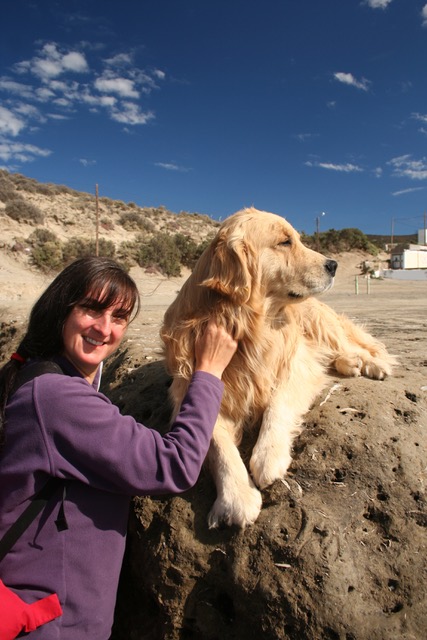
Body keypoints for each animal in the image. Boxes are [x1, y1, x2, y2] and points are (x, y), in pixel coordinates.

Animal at [160, 208, 396, 528]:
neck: (248, 323)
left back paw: (370, 363)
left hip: (320, 321)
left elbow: (277, 403)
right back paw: (350, 364)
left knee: (354, 344)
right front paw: (237, 496)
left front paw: (268, 458)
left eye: (297, 238)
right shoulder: (191, 388)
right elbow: (217, 442)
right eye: (285, 242)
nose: (333, 264)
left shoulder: (296, 364)